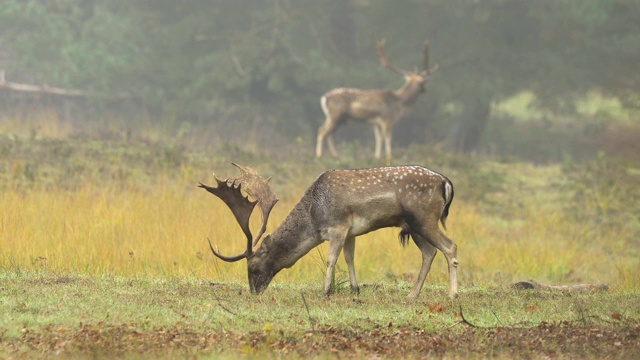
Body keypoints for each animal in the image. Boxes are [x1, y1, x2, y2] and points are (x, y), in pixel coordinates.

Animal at [198, 163, 458, 298]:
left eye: (252, 267)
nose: (254, 291)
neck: (315, 217)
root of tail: (446, 182)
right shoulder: (351, 232)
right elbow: (350, 257)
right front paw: (354, 289)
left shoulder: (337, 226)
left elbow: (332, 258)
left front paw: (326, 290)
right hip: (413, 226)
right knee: (430, 252)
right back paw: (412, 294)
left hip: (424, 219)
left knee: (450, 246)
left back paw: (452, 294)